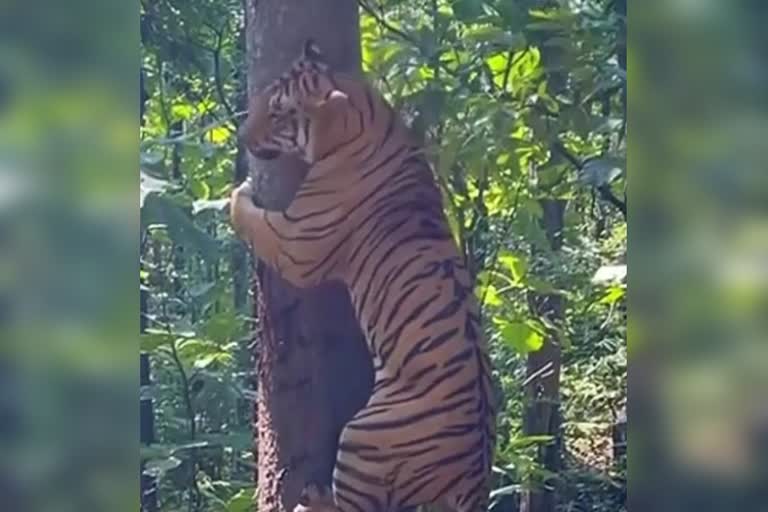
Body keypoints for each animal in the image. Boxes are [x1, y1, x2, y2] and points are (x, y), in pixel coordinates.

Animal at [231, 41, 496, 512]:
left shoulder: (296, 244)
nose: (242, 138)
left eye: (278, 113)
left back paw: (312, 498)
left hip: (363, 437)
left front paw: (237, 192)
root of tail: (473, 484)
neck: (363, 113)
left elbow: (252, 219)